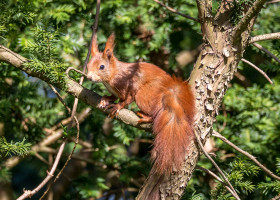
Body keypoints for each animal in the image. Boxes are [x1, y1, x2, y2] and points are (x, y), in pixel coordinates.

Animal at [87, 33, 195, 174]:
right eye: (88, 64)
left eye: (102, 67)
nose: (89, 77)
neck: (113, 75)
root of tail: (169, 88)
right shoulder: (114, 91)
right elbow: (113, 96)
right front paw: (105, 99)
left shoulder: (128, 86)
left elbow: (127, 99)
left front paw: (117, 106)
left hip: (144, 95)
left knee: (153, 113)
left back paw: (146, 117)